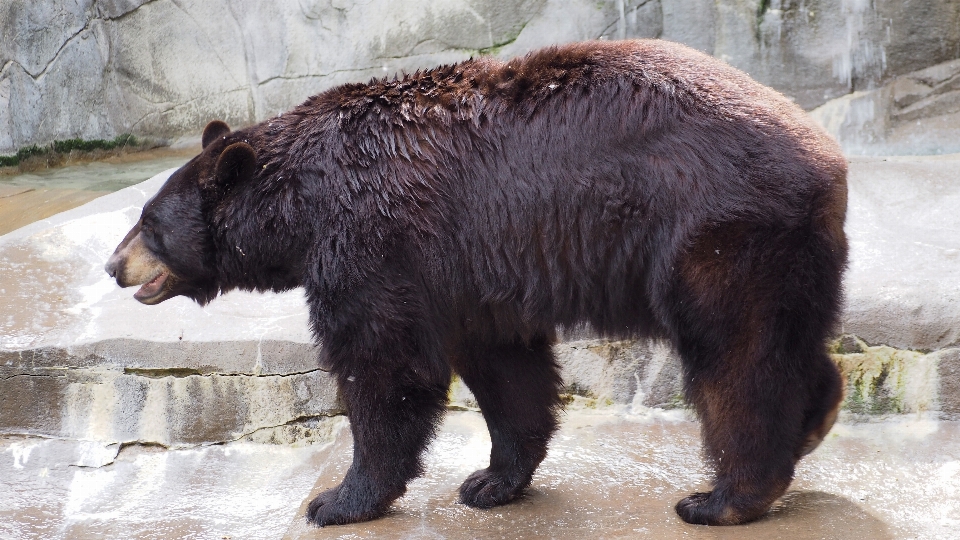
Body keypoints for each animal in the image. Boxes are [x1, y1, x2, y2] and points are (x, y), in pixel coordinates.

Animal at [103, 39, 848, 528]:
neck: (301, 206)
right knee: (786, 342)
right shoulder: (470, 266)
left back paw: (722, 497)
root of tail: (826, 154)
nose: (113, 265)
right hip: (787, 250)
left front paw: (337, 500)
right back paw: (813, 423)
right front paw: (492, 481)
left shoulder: (373, 240)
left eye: (148, 222)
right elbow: (504, 364)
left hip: (717, 232)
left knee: (736, 355)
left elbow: (385, 364)